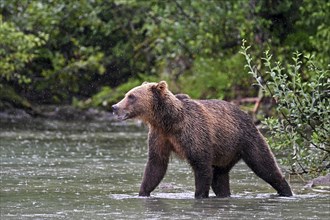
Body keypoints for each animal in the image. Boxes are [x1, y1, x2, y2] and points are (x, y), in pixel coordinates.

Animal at [112, 81, 292, 199]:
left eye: (131, 96)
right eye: (127, 94)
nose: (114, 107)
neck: (168, 121)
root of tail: (246, 114)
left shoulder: (194, 134)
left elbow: (201, 167)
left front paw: (199, 195)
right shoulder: (160, 136)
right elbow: (155, 166)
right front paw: (142, 193)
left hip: (246, 139)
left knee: (264, 164)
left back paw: (286, 191)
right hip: (224, 152)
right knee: (219, 177)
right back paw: (224, 194)